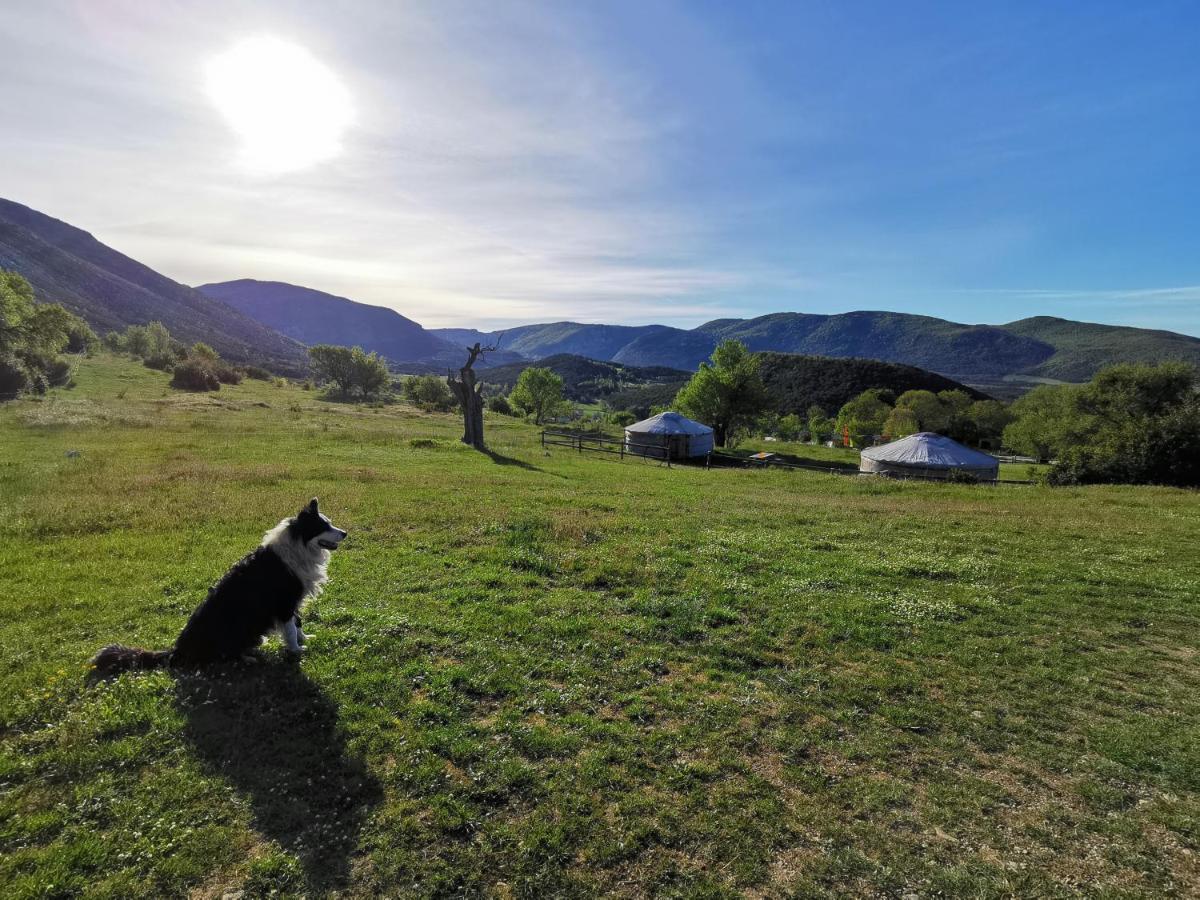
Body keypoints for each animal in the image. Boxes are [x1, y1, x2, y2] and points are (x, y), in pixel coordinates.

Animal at [91, 496, 348, 681]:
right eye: (323, 526)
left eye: (330, 523)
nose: (345, 533)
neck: (298, 545)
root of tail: (178, 651)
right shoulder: (284, 602)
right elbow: (291, 629)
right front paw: (296, 650)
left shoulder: (294, 601)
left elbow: (298, 623)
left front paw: (305, 639)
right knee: (224, 657)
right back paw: (247, 658)